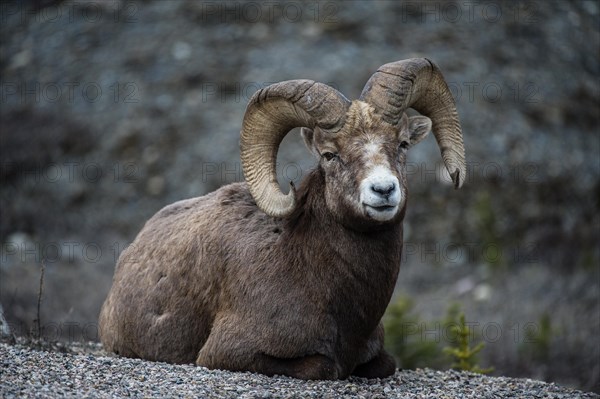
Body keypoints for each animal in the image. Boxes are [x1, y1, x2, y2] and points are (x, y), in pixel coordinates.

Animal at [98, 58, 466, 382]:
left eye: (402, 144)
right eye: (329, 154)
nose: (383, 190)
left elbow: (386, 364)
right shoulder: (226, 353)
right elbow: (325, 366)